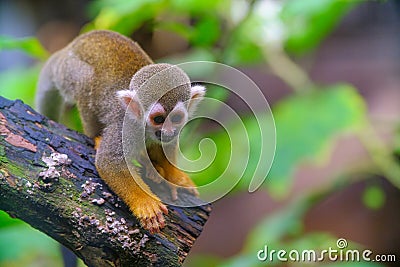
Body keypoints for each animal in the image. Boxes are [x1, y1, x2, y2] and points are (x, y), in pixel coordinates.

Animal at [35, 30, 205, 233]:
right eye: (158, 119)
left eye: (176, 118)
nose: (168, 131)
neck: (143, 126)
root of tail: (68, 48)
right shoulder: (125, 128)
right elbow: (109, 163)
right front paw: (145, 203)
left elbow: (166, 148)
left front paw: (175, 177)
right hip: (68, 71)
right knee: (86, 83)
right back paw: (97, 136)